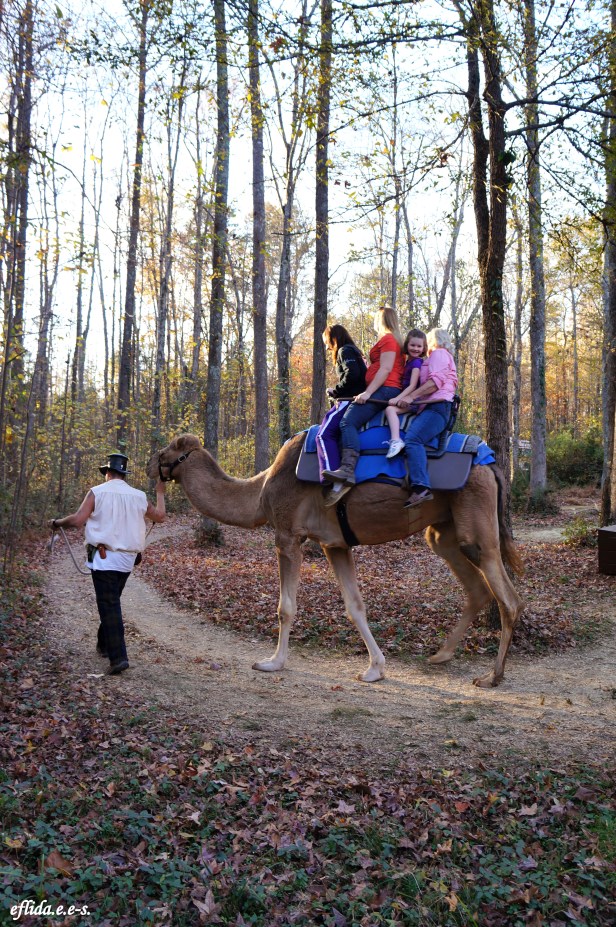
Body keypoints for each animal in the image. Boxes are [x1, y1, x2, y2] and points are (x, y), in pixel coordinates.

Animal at [148, 433, 524, 688]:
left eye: (169, 451)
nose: (151, 464)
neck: (261, 491)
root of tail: (492, 465)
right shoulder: (335, 545)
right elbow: (354, 606)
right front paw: (375, 669)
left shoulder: (287, 536)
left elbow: (286, 607)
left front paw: (273, 662)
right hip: (444, 532)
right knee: (477, 589)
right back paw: (441, 655)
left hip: (477, 528)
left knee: (509, 598)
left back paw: (492, 676)